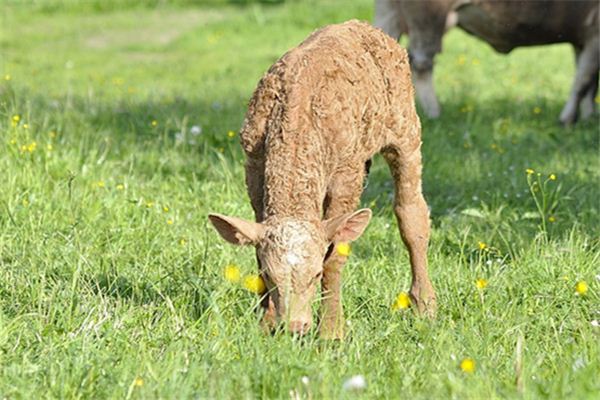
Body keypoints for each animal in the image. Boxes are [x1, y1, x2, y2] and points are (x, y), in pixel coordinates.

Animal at [209, 18, 434, 338]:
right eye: (269, 275)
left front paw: (331, 331)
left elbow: (336, 253)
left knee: (411, 213)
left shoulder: (347, 175)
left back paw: (424, 304)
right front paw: (265, 324)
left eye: (315, 275)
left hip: (406, 131)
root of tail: (363, 26)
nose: (295, 326)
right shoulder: (254, 167)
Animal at [376, 0, 600, 125]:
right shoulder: (594, 33)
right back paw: (434, 113)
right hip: (428, 17)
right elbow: (583, 81)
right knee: (421, 63)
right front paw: (568, 119)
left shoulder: (582, 39)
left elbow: (589, 83)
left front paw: (588, 117)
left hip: (391, 11)